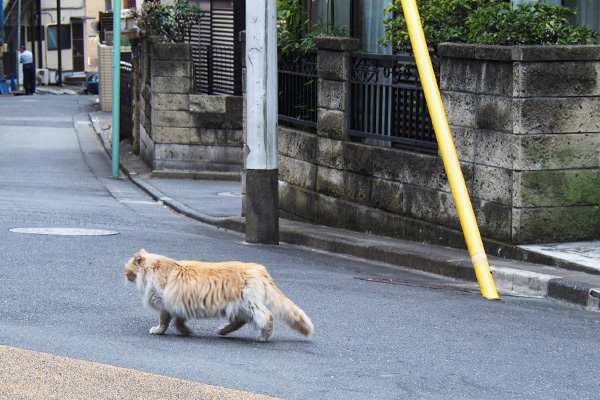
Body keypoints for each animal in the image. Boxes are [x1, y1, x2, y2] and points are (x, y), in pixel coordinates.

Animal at [126, 250, 314, 340]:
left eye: (127, 270)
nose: (125, 276)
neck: (154, 268)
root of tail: (257, 267)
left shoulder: (164, 302)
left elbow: (164, 321)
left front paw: (158, 330)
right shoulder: (179, 304)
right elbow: (179, 321)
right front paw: (185, 330)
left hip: (247, 304)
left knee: (267, 317)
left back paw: (264, 336)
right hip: (239, 307)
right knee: (240, 321)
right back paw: (223, 330)